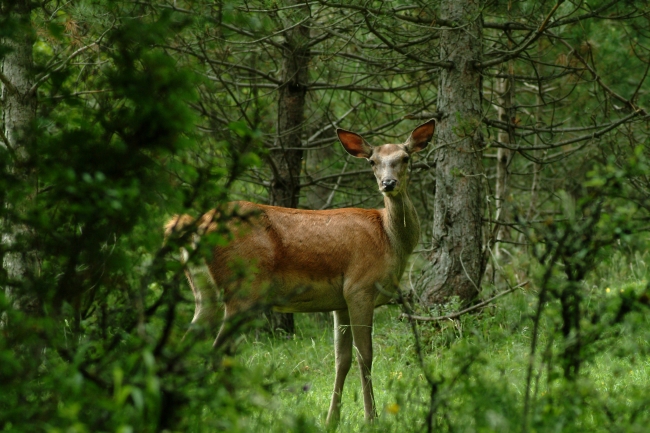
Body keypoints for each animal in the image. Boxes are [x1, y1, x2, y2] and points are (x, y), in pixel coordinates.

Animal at [165, 120, 432, 424]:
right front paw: (371, 418)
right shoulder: (360, 287)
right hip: (244, 290)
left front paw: (332, 420)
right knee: (220, 351)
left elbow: (342, 359)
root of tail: (194, 225)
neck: (389, 238)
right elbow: (365, 355)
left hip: (204, 293)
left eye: (405, 158)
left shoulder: (340, 301)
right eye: (372, 161)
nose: (388, 184)